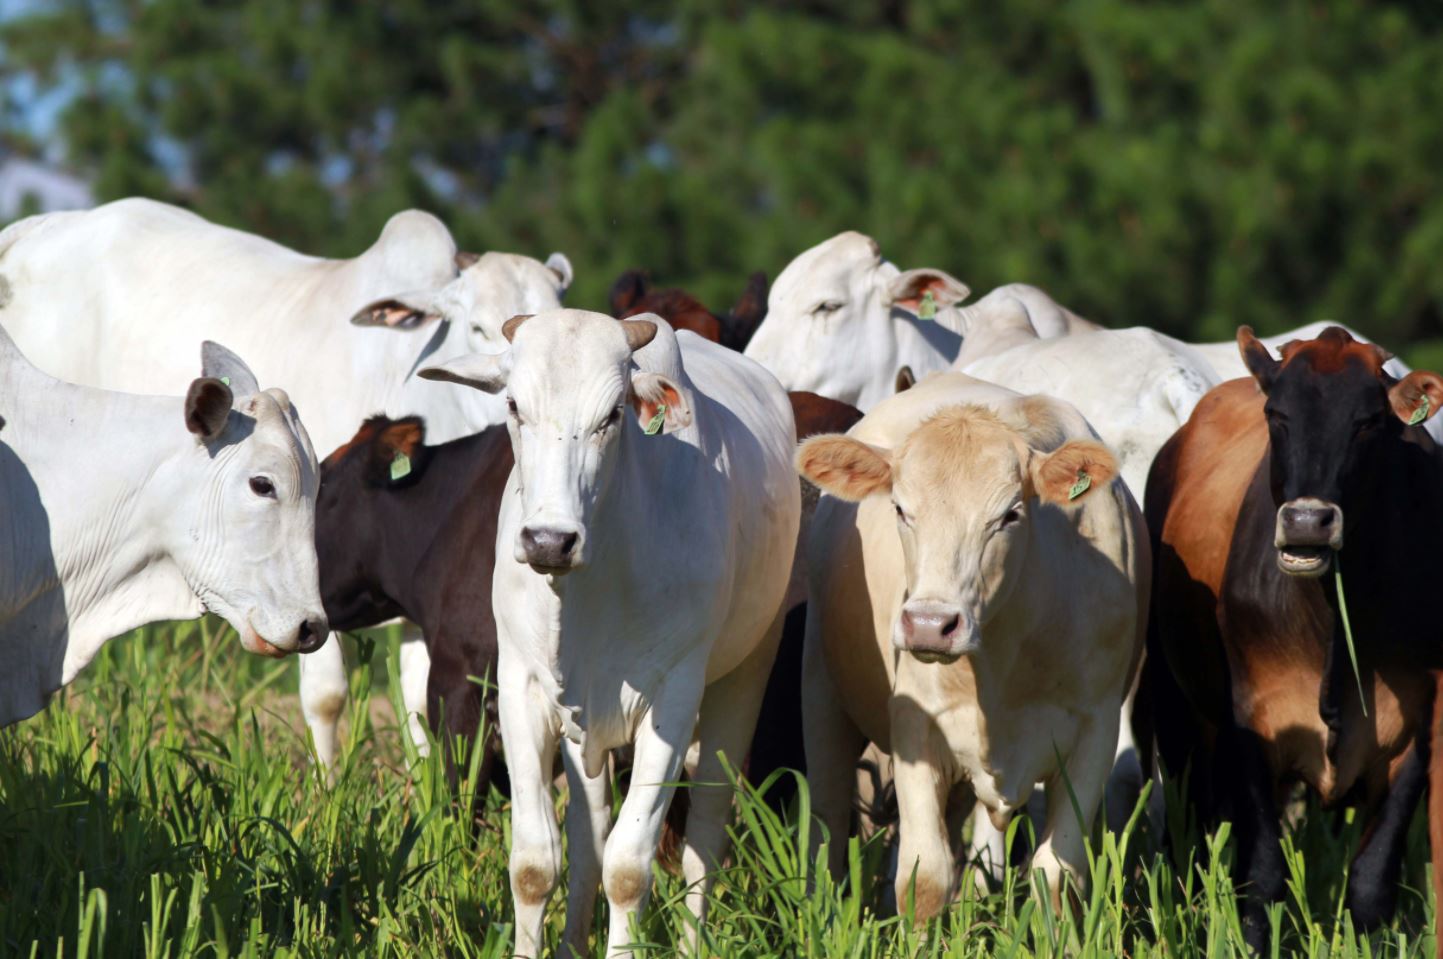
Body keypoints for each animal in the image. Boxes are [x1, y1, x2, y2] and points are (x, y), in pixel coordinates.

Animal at [418, 308, 802, 957]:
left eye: (614, 415)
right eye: (514, 405)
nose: (549, 540)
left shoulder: (673, 699)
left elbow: (629, 868)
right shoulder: (523, 689)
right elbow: (536, 862)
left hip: (746, 673)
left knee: (703, 836)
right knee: (589, 829)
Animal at [796, 372, 1142, 911]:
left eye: (1009, 515)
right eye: (900, 509)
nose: (929, 623)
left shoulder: (1096, 731)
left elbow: (1056, 877)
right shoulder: (915, 724)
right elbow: (924, 877)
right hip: (822, 690)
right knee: (828, 820)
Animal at [1142, 327, 1443, 951]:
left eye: (1368, 421)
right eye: (1277, 415)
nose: (1307, 522)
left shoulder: (1414, 731)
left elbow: (1371, 883)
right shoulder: (1254, 723)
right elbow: (1260, 876)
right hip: (1176, 710)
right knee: (1187, 831)